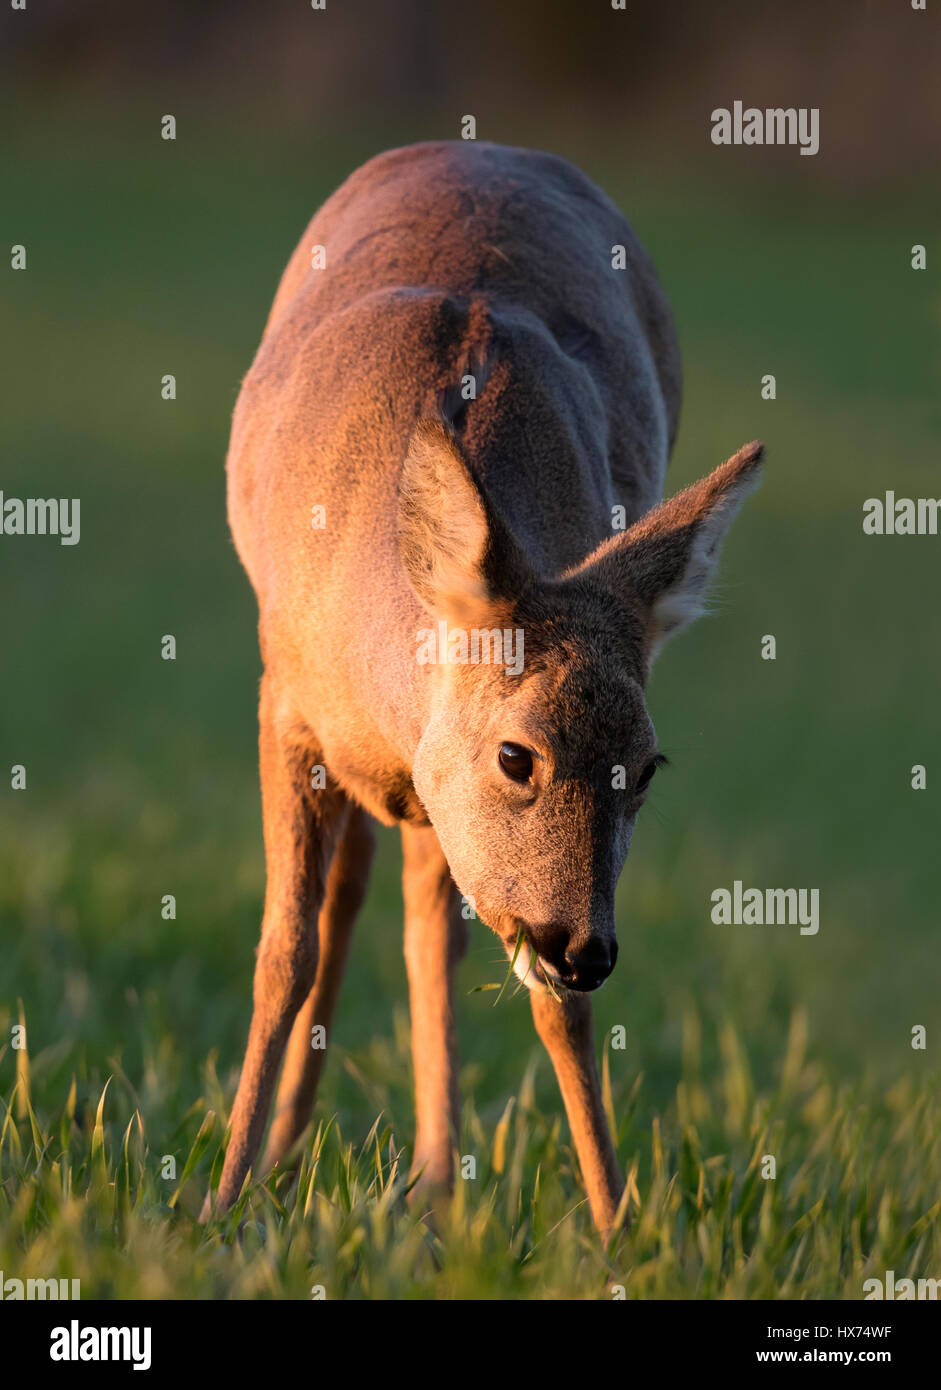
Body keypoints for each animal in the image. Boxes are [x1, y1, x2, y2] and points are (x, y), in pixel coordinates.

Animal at [202, 140, 763, 1239]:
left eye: (647, 769)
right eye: (517, 753)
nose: (583, 945)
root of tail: (475, 145)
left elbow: (538, 1000)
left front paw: (617, 1227)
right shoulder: (282, 699)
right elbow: (281, 950)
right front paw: (215, 1203)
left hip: (433, 813)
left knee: (426, 925)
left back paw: (426, 1182)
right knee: (355, 900)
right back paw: (294, 1158)